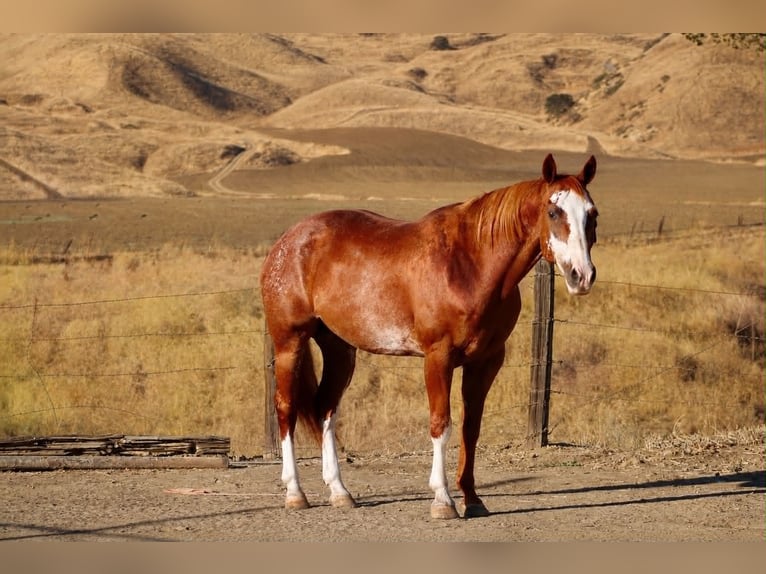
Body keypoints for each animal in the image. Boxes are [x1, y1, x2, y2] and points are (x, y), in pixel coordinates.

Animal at [260, 153, 598, 519]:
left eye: (592, 213)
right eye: (554, 211)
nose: (581, 276)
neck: (470, 264)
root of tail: (288, 241)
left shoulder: (486, 361)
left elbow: (470, 428)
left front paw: (473, 499)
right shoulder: (438, 357)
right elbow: (441, 424)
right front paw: (443, 500)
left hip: (340, 349)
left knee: (325, 408)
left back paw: (339, 491)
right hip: (290, 342)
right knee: (286, 408)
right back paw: (295, 492)